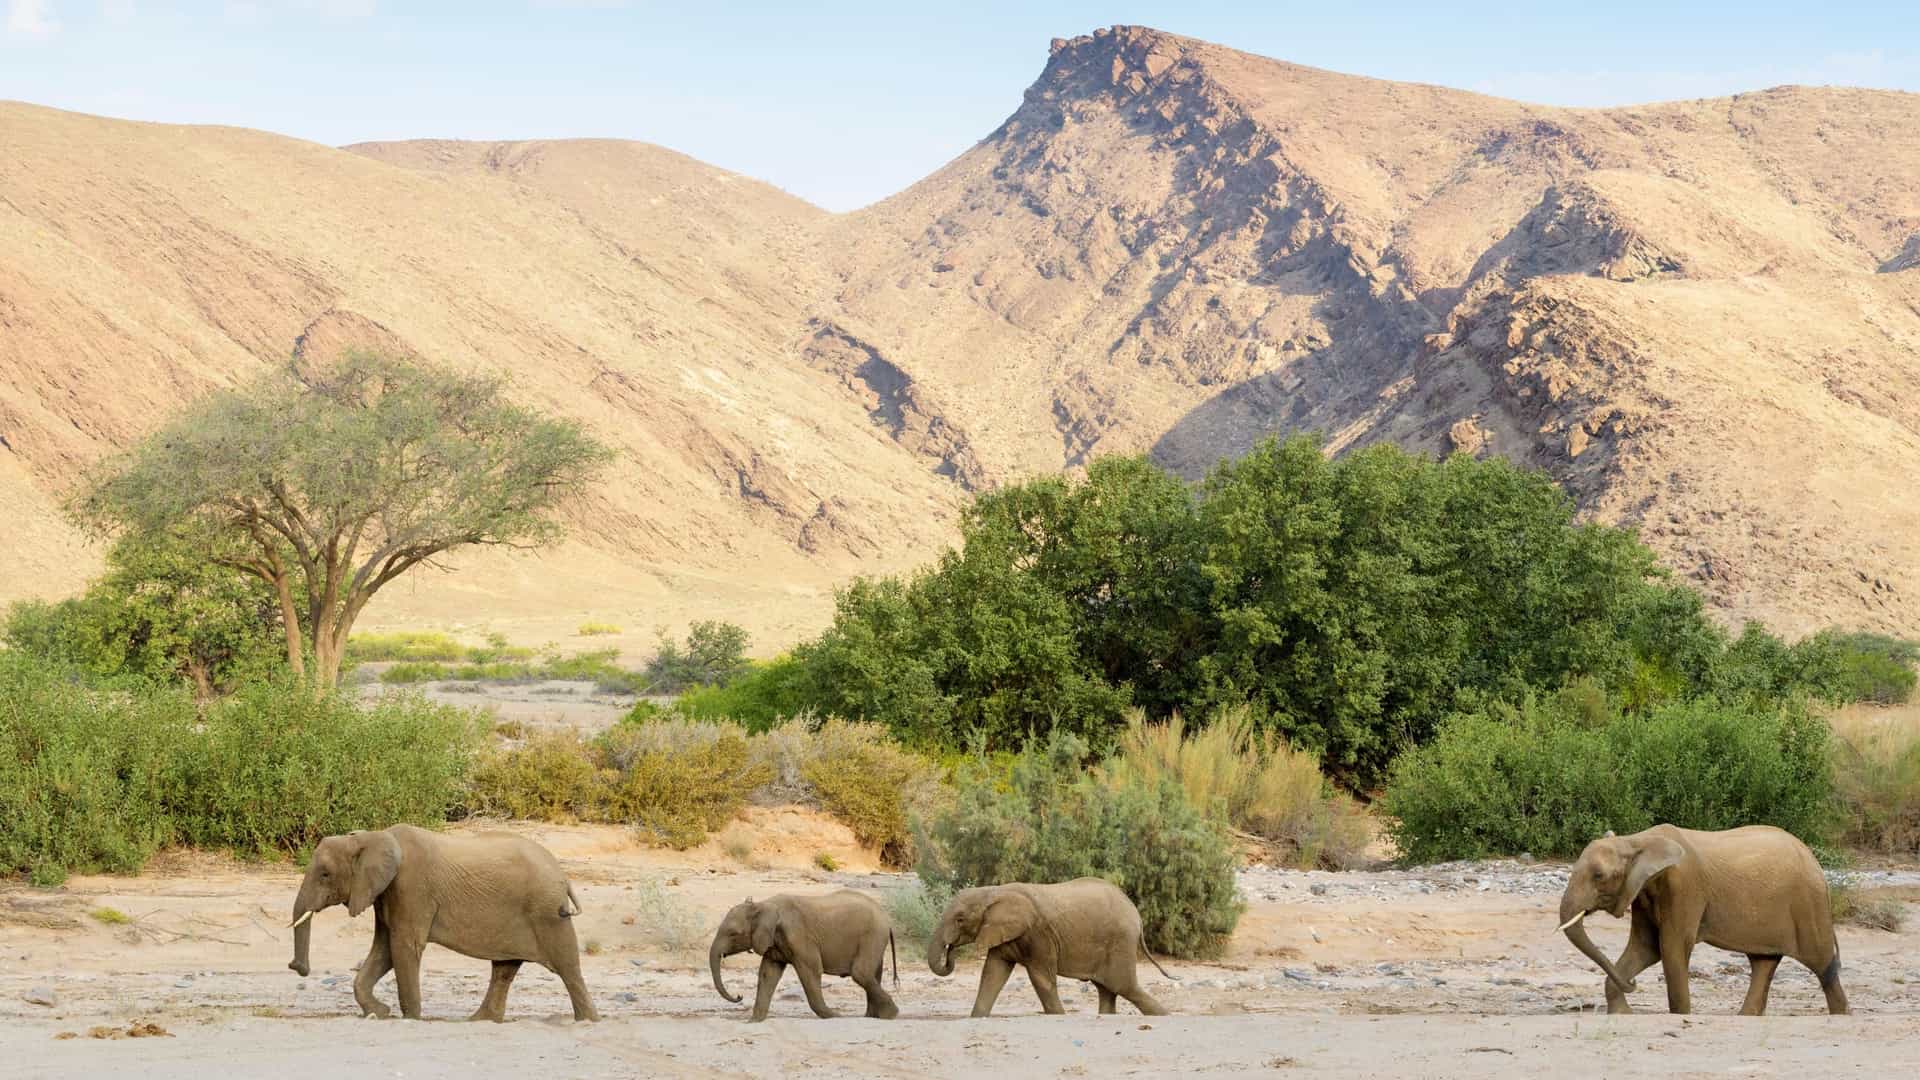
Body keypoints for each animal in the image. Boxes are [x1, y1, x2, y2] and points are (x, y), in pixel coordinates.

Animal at [287, 825, 598, 1022]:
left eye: (325, 874)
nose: (296, 967)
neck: (373, 836)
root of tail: (564, 876)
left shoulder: (412, 888)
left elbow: (404, 946)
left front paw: (411, 1018)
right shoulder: (387, 894)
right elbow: (384, 950)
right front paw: (381, 1013)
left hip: (547, 913)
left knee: (567, 966)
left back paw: (587, 1021)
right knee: (504, 968)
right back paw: (479, 1021)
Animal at [709, 890, 899, 1021]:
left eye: (733, 934)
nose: (739, 996)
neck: (763, 904)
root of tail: (887, 919)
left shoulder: (799, 937)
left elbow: (811, 971)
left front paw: (834, 1016)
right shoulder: (774, 942)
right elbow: (767, 974)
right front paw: (753, 1022)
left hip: (872, 935)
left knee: (861, 973)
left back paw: (890, 1015)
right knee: (872, 974)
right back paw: (873, 1016)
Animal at [927, 879, 1172, 1017]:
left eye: (960, 919)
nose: (950, 950)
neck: (994, 892)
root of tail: (1136, 914)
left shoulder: (1038, 934)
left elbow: (1041, 977)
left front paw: (1058, 1016)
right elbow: (992, 973)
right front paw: (976, 1018)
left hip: (1120, 942)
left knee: (1125, 987)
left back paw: (1165, 1016)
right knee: (1107, 990)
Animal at [1558, 824, 1849, 1015]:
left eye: (1598, 876)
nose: (1634, 984)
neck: (1637, 840)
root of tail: (1815, 861)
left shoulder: (1685, 887)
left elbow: (1671, 948)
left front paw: (1681, 1015)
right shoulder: (1642, 892)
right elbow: (1646, 948)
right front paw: (1622, 1015)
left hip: (1808, 904)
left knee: (1823, 964)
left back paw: (1842, 1014)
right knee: (1763, 962)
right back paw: (1745, 1017)